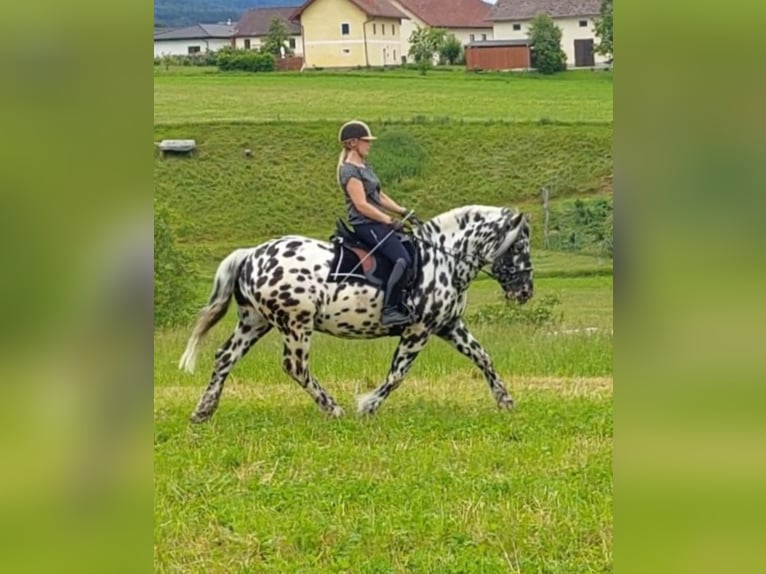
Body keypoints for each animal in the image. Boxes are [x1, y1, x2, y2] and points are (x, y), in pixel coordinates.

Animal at [179, 205, 536, 420]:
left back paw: (203, 411)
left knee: (225, 357)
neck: (443, 259)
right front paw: (367, 406)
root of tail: (251, 254)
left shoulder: (449, 325)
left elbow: (483, 358)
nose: (525, 292)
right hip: (295, 324)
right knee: (295, 367)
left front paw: (505, 401)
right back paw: (332, 408)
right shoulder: (418, 330)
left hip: (255, 322)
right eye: (518, 246)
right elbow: (397, 374)